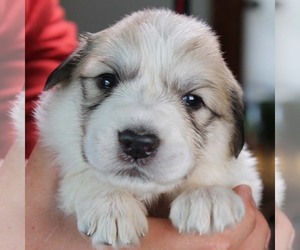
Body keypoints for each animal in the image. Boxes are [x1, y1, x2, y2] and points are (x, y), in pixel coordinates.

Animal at [36, 8, 262, 249]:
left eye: (193, 100)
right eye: (106, 81)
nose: (137, 143)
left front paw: (206, 195)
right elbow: (83, 174)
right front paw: (111, 203)